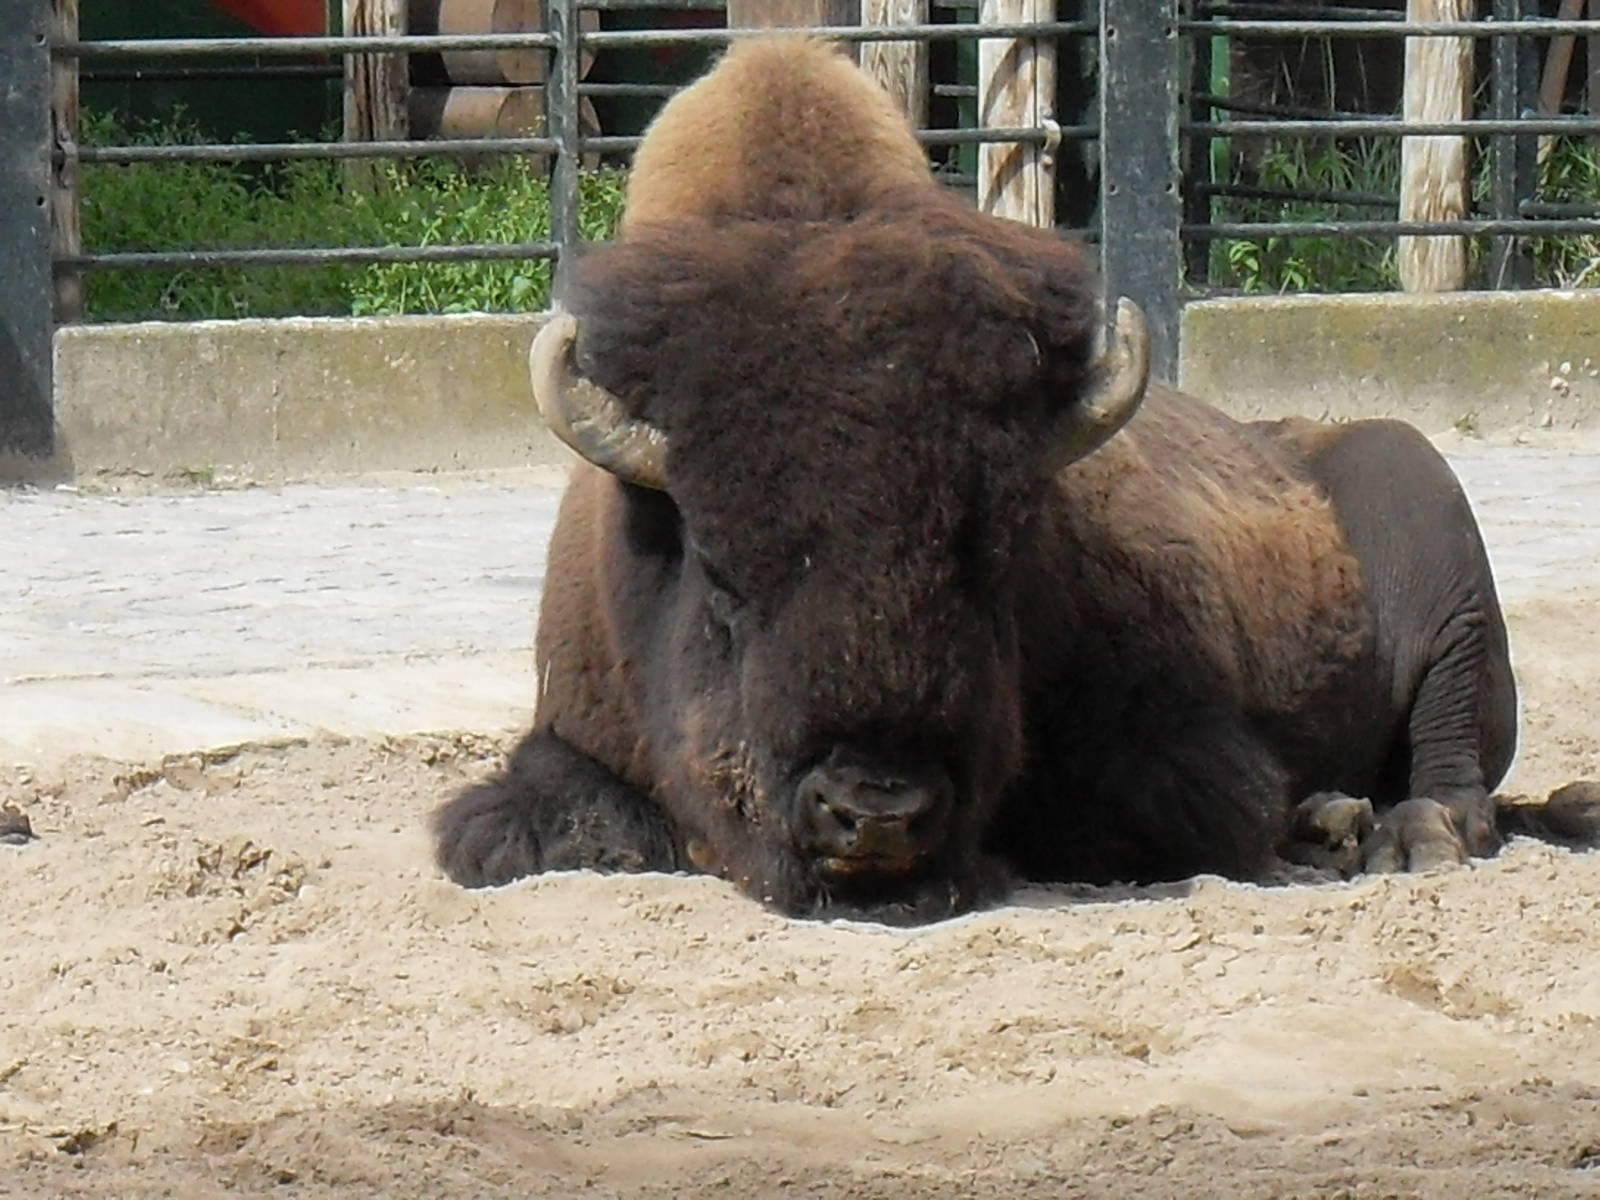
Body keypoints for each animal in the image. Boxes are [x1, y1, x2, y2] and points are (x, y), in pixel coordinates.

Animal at [433, 37, 1566, 922]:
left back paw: (1398, 834)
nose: (874, 807)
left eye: (993, 558)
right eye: (718, 571)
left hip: (1438, 543)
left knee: (1456, 774)